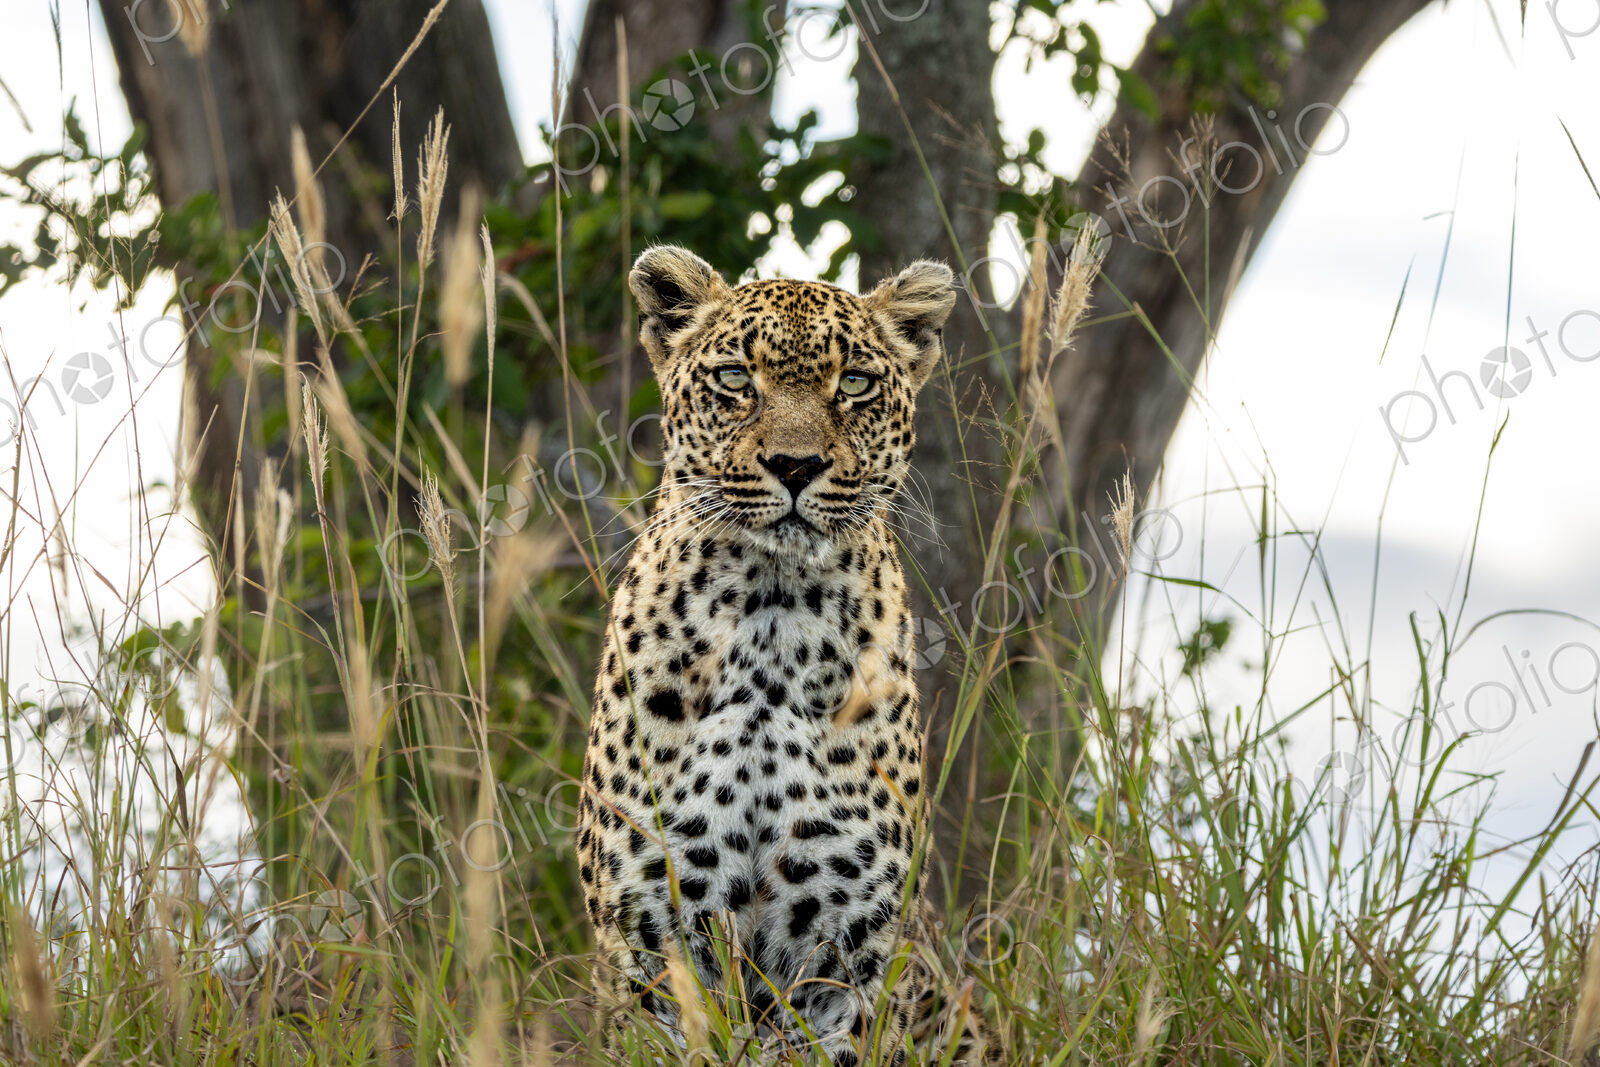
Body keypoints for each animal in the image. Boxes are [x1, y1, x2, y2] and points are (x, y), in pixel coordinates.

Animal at [576, 244, 1002, 1066]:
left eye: (855, 383)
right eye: (736, 379)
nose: (796, 465)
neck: (771, 618)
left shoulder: (849, 961)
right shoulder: (649, 947)